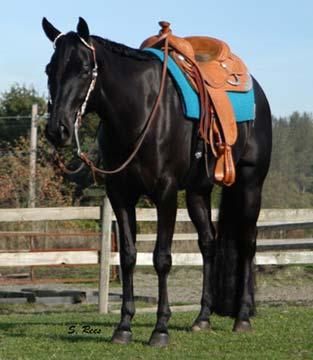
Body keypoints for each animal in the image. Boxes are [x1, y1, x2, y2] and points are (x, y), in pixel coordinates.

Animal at [41, 18, 270, 348]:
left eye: (84, 68)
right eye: (50, 69)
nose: (56, 130)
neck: (140, 110)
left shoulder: (165, 193)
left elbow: (162, 258)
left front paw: (160, 328)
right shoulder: (121, 196)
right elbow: (128, 257)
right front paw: (123, 326)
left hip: (251, 184)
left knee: (248, 243)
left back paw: (242, 317)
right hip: (198, 192)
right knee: (208, 244)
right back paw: (202, 318)